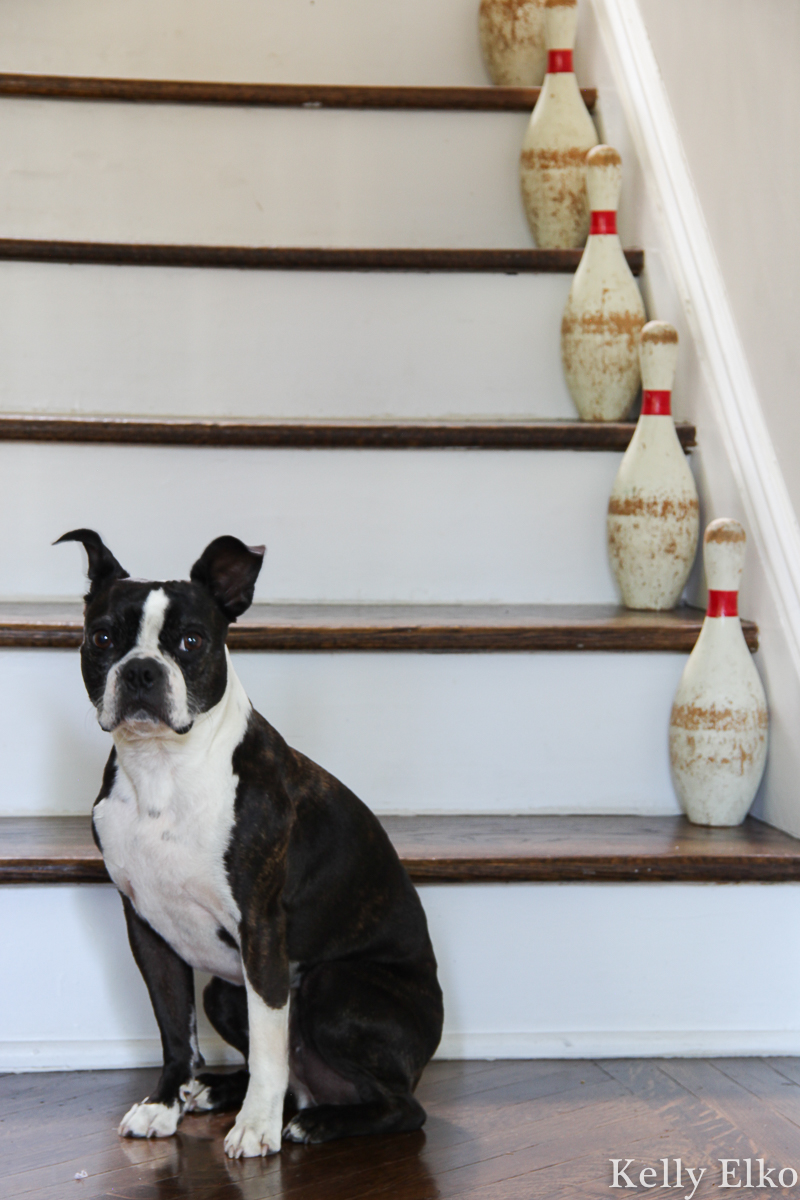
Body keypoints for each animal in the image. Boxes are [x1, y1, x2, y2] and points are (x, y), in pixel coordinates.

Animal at [56, 530, 443, 1156]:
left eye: (191, 641)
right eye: (103, 637)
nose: (141, 671)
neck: (164, 771)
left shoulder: (261, 931)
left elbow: (268, 1046)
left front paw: (256, 1127)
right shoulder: (147, 931)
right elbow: (174, 1030)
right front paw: (163, 1105)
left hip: (330, 987)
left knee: (403, 1106)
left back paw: (316, 1122)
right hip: (224, 992)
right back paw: (216, 1090)